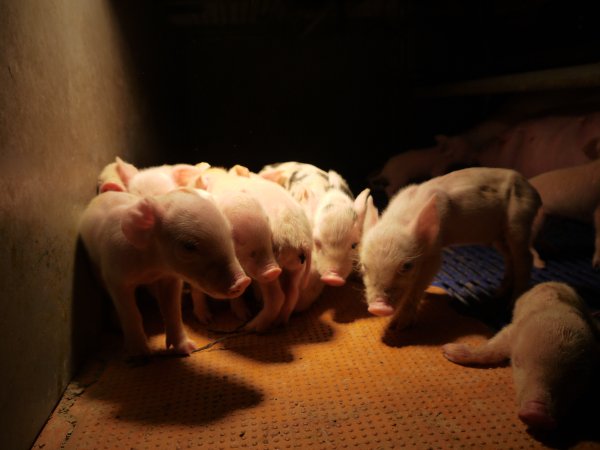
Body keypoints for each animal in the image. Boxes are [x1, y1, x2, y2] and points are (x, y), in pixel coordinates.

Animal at [78, 187, 251, 356]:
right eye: (189, 246)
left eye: (230, 234)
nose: (243, 281)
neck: (153, 268)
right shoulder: (117, 277)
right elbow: (131, 313)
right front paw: (140, 355)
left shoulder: (171, 279)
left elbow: (173, 311)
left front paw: (188, 349)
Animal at [358, 167, 540, 328]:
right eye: (364, 267)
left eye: (407, 266)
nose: (378, 308)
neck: (398, 220)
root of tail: (533, 189)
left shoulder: (434, 253)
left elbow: (420, 283)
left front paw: (398, 325)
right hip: (498, 236)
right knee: (509, 258)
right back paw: (497, 294)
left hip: (518, 221)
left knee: (525, 258)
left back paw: (512, 305)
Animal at [440, 284, 600, 430]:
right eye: (517, 362)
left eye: (576, 374)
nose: (536, 414)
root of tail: (553, 282)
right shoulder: (512, 330)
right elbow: (491, 348)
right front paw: (447, 350)